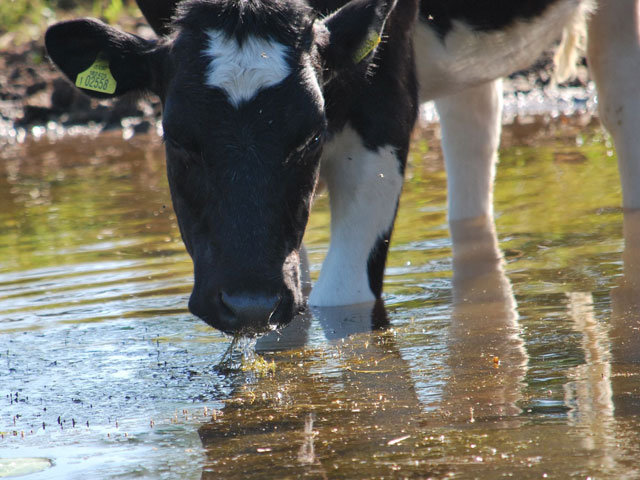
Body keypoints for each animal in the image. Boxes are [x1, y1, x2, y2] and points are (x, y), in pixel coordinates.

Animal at [45, 0, 640, 335]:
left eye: (311, 134)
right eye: (176, 137)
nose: (247, 301)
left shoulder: (382, 101)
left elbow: (339, 297)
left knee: (620, 105)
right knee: (475, 125)